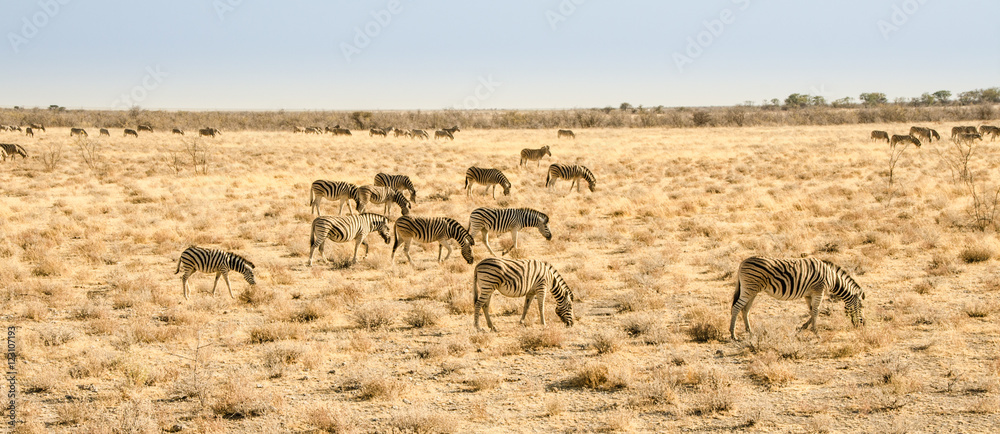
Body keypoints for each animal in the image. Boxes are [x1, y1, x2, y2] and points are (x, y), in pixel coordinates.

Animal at [730, 257, 865, 341]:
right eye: (861, 306)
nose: (863, 325)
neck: (832, 278)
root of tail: (743, 262)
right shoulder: (818, 291)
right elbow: (816, 312)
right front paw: (816, 333)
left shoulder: (808, 294)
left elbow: (811, 312)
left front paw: (801, 328)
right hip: (749, 288)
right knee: (736, 308)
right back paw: (733, 334)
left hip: (752, 290)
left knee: (745, 310)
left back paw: (749, 332)